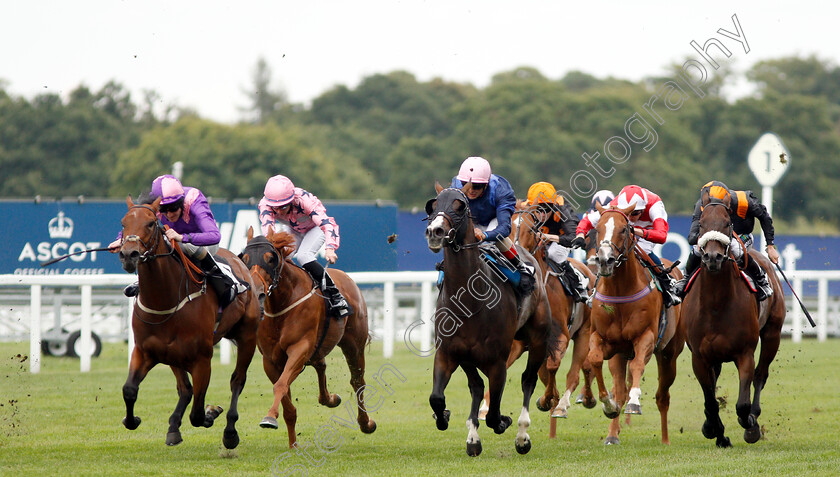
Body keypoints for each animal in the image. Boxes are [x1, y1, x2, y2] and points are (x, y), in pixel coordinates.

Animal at [116, 195, 258, 448]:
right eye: (123, 223)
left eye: (151, 223)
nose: (129, 254)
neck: (165, 299)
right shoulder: (145, 351)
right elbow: (130, 390)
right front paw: (133, 420)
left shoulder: (202, 360)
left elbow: (198, 414)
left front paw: (212, 413)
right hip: (173, 355)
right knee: (185, 389)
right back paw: (173, 427)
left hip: (247, 337)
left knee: (237, 381)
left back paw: (230, 432)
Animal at [240, 226, 378, 446]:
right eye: (244, 258)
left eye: (270, 259)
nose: (257, 291)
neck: (283, 304)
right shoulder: (270, 360)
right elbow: (285, 398)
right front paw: (292, 444)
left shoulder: (300, 348)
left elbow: (281, 385)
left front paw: (269, 418)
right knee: (321, 365)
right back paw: (330, 399)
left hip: (354, 344)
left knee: (358, 381)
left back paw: (366, 423)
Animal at [426, 181, 556, 454]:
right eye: (433, 205)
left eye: (459, 206)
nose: (435, 231)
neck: (469, 300)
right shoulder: (448, 353)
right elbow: (437, 398)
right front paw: (445, 417)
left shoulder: (497, 362)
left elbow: (495, 413)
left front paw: (504, 422)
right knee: (476, 387)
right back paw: (473, 438)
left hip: (538, 340)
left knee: (528, 380)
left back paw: (522, 435)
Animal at [588, 203, 684, 444]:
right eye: (598, 229)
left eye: (624, 229)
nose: (605, 260)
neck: (620, 290)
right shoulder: (604, 340)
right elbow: (595, 359)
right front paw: (608, 405)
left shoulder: (646, 337)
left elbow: (638, 365)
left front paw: (634, 402)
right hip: (620, 355)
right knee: (621, 388)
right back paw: (612, 434)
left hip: (669, 352)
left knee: (662, 396)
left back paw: (665, 439)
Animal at [684, 194, 788, 446]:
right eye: (701, 225)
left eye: (727, 223)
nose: (712, 257)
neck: (715, 305)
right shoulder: (699, 357)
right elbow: (710, 400)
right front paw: (714, 430)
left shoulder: (744, 353)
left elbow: (742, 403)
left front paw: (750, 424)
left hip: (772, 334)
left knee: (761, 374)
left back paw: (754, 418)